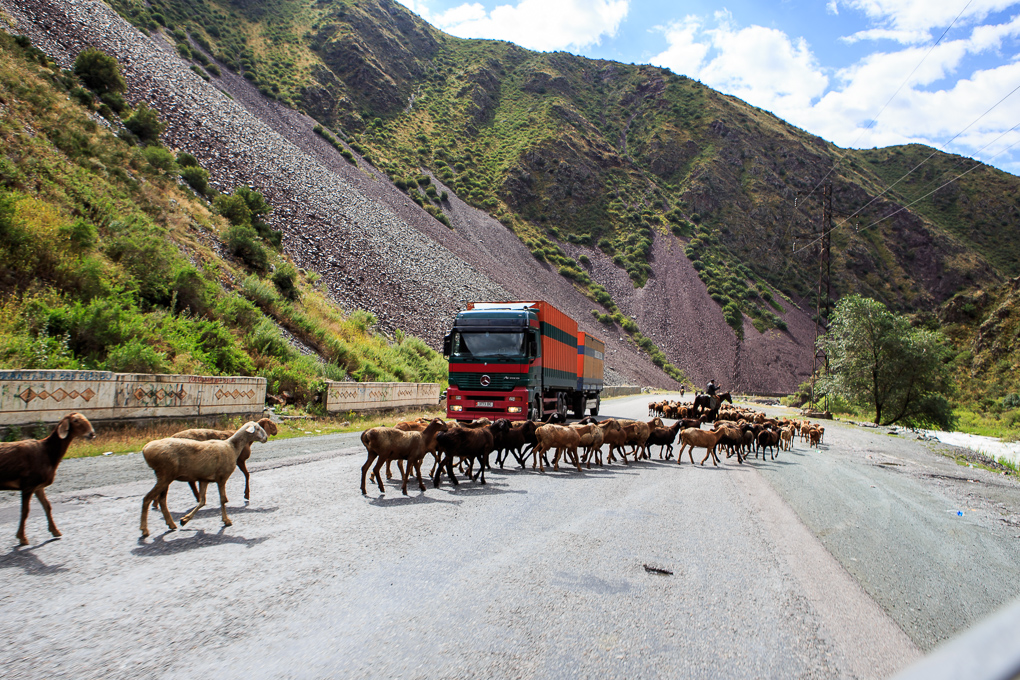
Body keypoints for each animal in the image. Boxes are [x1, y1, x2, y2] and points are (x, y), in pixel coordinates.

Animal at [0, 411, 95, 546]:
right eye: (75, 420)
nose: (92, 434)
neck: (48, 452)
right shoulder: (28, 485)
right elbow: (25, 511)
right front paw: (22, 538)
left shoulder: (38, 487)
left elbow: (47, 506)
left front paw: (55, 531)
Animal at [139, 420, 269, 538]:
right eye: (257, 429)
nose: (266, 438)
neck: (232, 447)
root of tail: (145, 449)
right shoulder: (222, 477)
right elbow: (222, 499)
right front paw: (226, 520)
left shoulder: (204, 479)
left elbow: (202, 501)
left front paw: (185, 520)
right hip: (165, 474)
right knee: (147, 498)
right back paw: (144, 530)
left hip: (165, 477)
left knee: (162, 500)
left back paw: (171, 524)